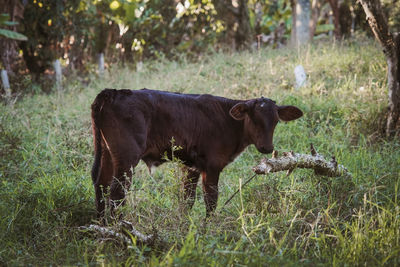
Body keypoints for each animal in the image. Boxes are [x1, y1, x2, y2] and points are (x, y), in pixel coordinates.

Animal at [90, 89, 304, 221]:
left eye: (276, 121)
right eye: (254, 118)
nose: (267, 147)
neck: (229, 122)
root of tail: (112, 92)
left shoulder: (190, 165)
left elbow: (187, 200)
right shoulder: (212, 165)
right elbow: (211, 200)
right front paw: (206, 228)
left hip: (108, 153)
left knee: (102, 184)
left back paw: (102, 226)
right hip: (127, 157)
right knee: (117, 193)